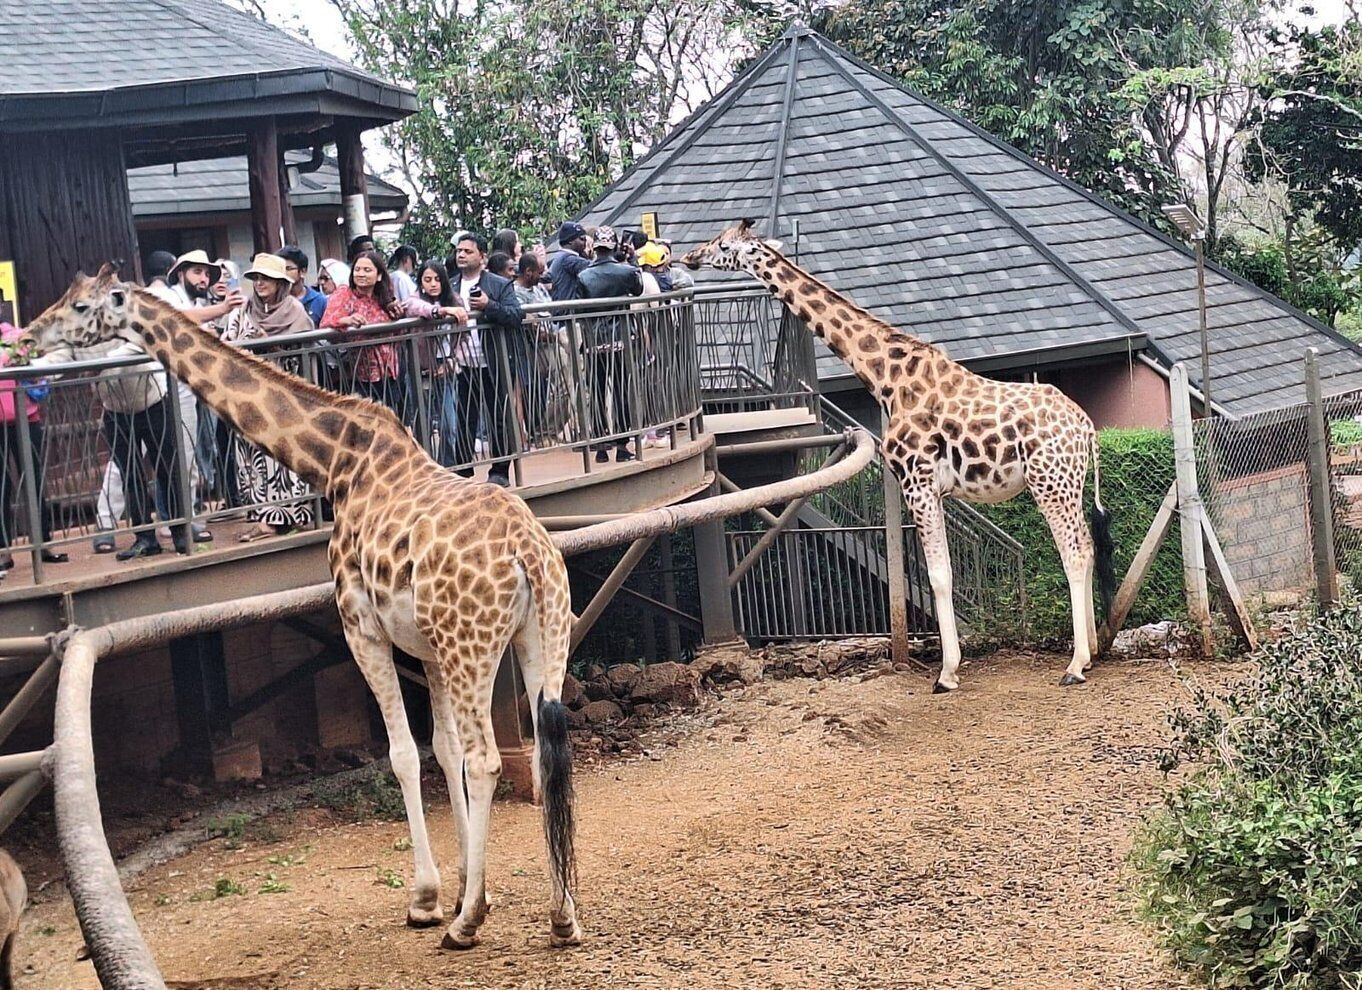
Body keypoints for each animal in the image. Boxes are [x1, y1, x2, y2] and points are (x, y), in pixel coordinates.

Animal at [25, 265, 582, 950]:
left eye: (80, 307)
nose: (29, 336)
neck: (337, 462)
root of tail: (529, 552)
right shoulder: (424, 645)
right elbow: (440, 750)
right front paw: (456, 887)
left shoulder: (360, 625)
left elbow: (404, 755)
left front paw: (430, 900)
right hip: (538, 635)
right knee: (545, 751)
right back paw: (562, 917)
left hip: (472, 645)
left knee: (487, 760)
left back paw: (467, 924)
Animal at [683, 221, 1115, 690]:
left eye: (724, 245)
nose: (689, 257)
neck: (886, 379)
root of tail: (1085, 427)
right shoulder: (933, 489)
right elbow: (941, 572)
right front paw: (949, 666)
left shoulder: (917, 480)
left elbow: (938, 575)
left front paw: (946, 673)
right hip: (1068, 484)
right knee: (1088, 546)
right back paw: (1092, 652)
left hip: (1048, 482)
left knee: (1074, 552)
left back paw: (1075, 664)